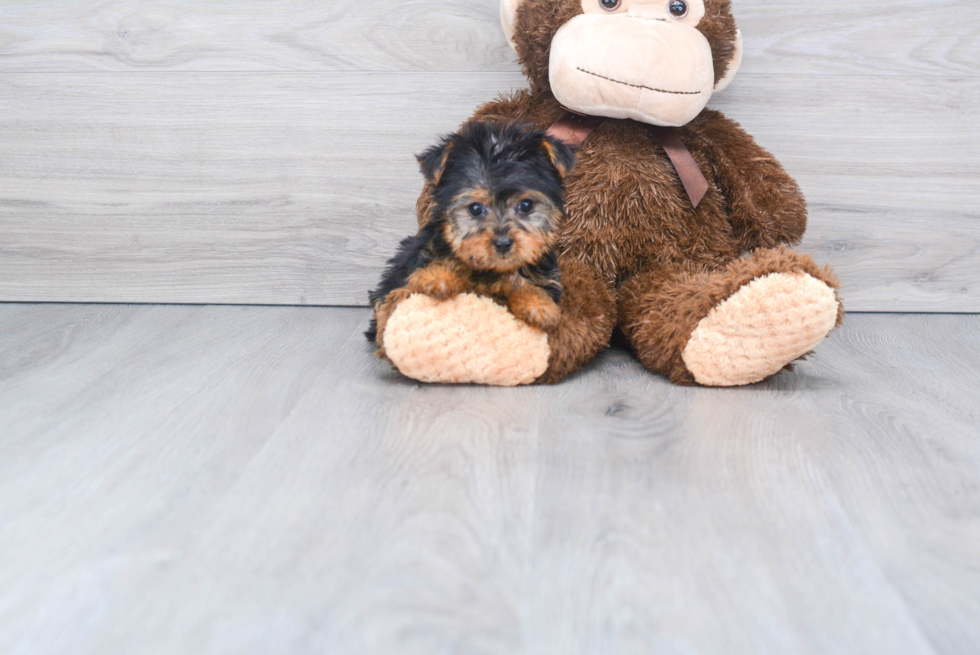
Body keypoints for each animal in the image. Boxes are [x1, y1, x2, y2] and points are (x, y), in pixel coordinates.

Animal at [368, 120, 576, 352]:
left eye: (526, 205)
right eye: (475, 209)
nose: (503, 243)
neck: (492, 270)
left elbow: (530, 284)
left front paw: (538, 304)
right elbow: (445, 258)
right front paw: (438, 276)